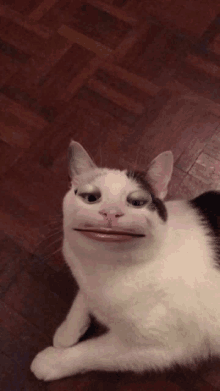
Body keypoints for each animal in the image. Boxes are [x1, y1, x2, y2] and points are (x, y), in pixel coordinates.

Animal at [31, 141, 220, 382]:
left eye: (137, 202)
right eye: (91, 198)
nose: (111, 212)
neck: (108, 266)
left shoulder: (162, 347)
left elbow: (93, 353)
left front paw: (52, 361)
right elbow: (82, 297)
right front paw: (67, 332)